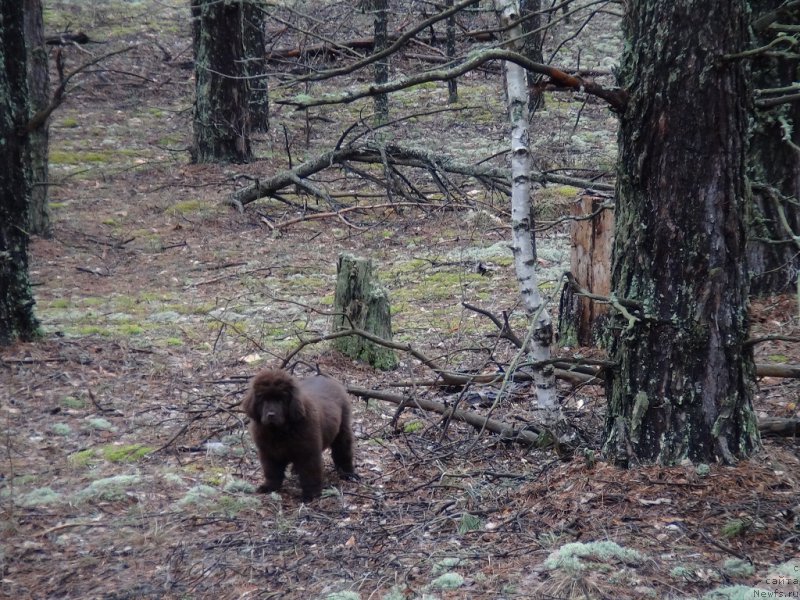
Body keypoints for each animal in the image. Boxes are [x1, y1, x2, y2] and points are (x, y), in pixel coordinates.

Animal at [242, 370, 354, 502]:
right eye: (263, 399)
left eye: (281, 399)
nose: (271, 415)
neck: (279, 431)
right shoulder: (269, 452)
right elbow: (272, 471)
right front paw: (269, 487)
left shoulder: (308, 453)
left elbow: (309, 474)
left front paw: (310, 495)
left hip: (343, 428)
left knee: (343, 450)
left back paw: (348, 474)